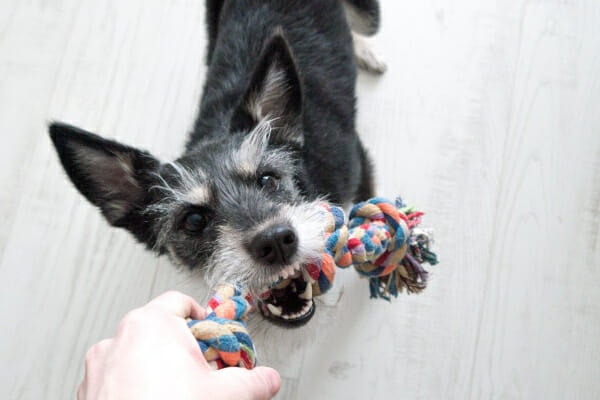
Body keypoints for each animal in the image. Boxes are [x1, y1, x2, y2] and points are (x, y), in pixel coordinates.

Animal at [49, 0, 382, 324]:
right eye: (194, 220)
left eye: (268, 179)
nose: (275, 241)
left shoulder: (359, 162)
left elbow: (364, 212)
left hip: (369, 16)